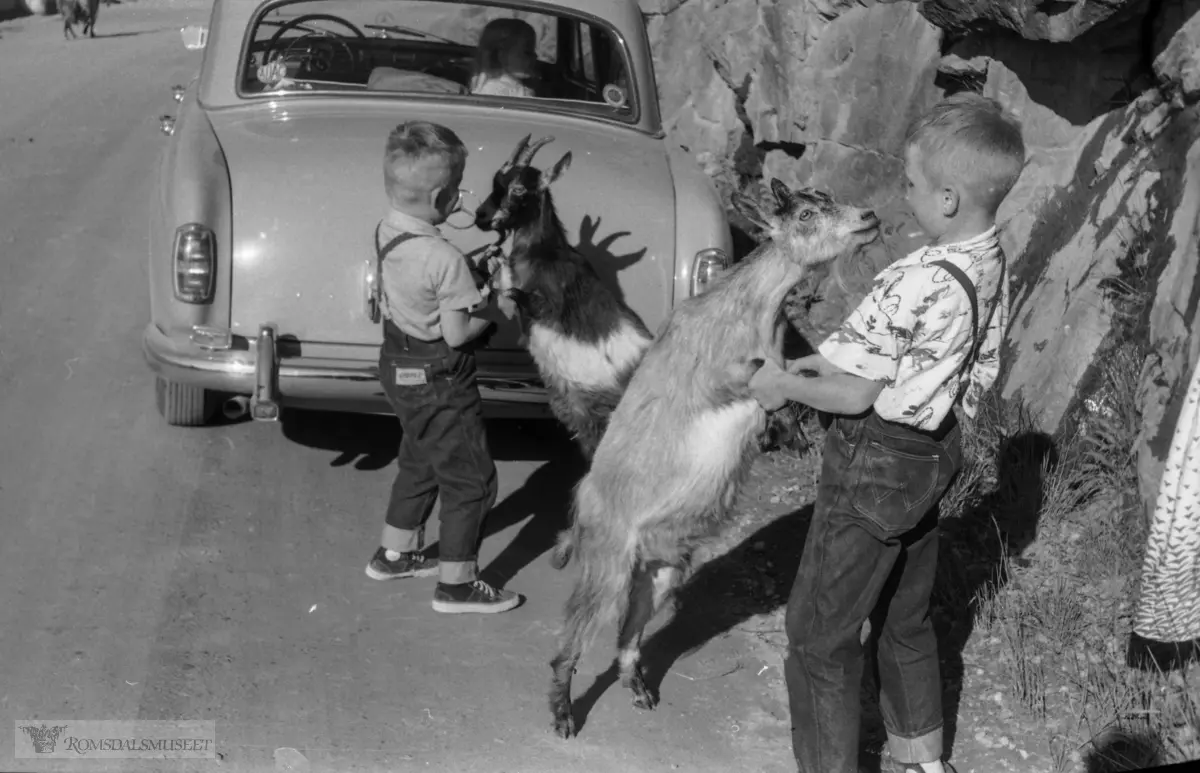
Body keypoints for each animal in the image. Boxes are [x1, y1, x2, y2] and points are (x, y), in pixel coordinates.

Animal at [472, 134, 652, 458]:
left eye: (519, 189)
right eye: (497, 180)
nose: (481, 216)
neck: (542, 253)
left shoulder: (544, 306)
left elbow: (509, 291)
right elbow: (500, 271)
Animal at [549, 177, 878, 739]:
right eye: (806, 213)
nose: (868, 217)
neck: (752, 313)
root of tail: (581, 506)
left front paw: (792, 436)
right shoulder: (716, 380)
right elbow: (761, 385)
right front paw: (788, 433)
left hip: (658, 572)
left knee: (629, 631)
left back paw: (639, 690)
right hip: (608, 562)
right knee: (573, 637)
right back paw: (563, 715)